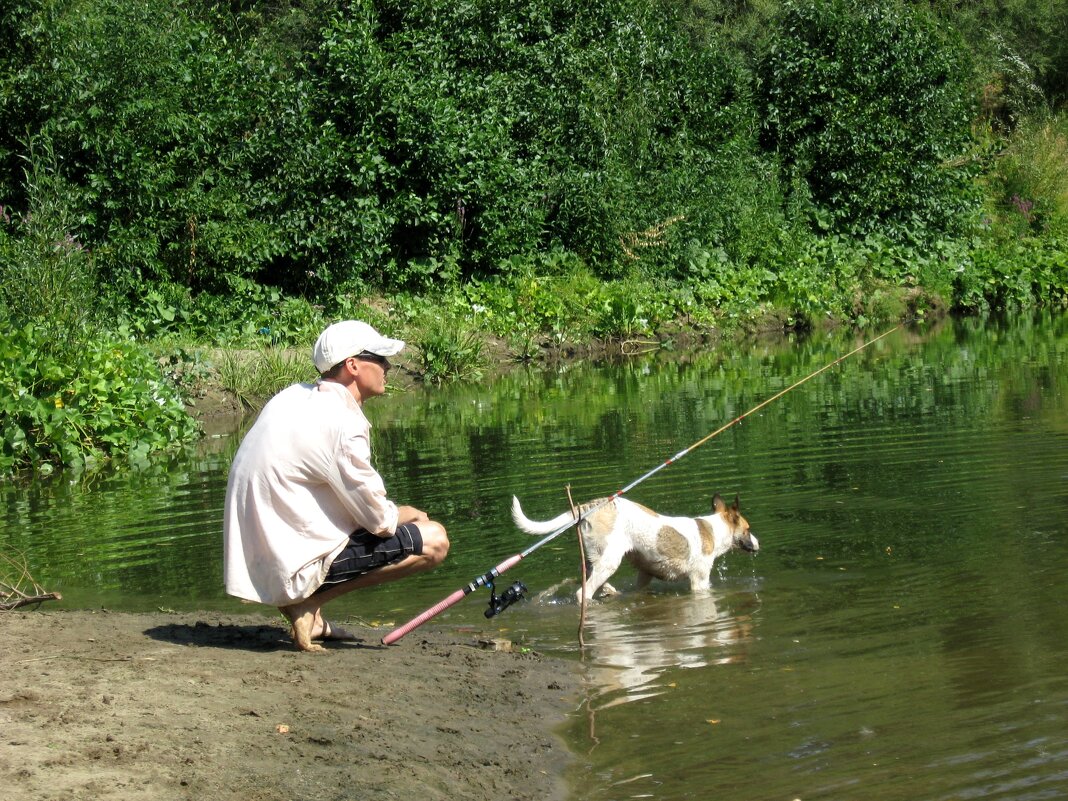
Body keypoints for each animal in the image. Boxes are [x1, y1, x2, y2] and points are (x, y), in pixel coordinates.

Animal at [510, 495, 756, 602]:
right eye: (747, 529)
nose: (757, 543)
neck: (712, 530)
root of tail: (588, 506)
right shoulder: (700, 581)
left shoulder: (645, 574)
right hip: (609, 561)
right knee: (583, 592)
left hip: (596, 558)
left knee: (589, 576)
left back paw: (610, 591)